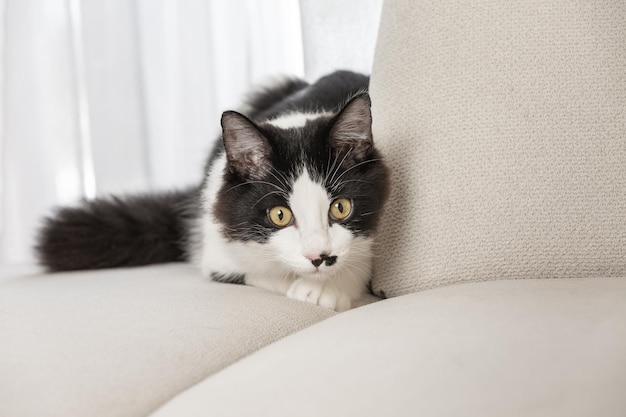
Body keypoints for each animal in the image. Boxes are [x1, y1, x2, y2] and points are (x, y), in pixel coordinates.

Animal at [34, 71, 388, 310]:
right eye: (279, 215)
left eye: (340, 207)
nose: (319, 257)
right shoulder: (217, 248)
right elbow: (254, 271)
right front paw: (305, 286)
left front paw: (327, 288)